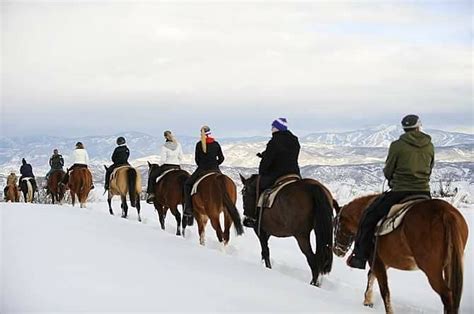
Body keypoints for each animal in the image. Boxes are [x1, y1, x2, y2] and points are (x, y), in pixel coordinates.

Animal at [334, 195, 470, 312]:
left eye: (337, 225)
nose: (337, 250)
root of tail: (445, 213)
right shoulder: (384, 262)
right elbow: (371, 276)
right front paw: (367, 301)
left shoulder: (376, 260)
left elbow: (384, 290)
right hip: (449, 266)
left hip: (432, 271)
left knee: (447, 295)